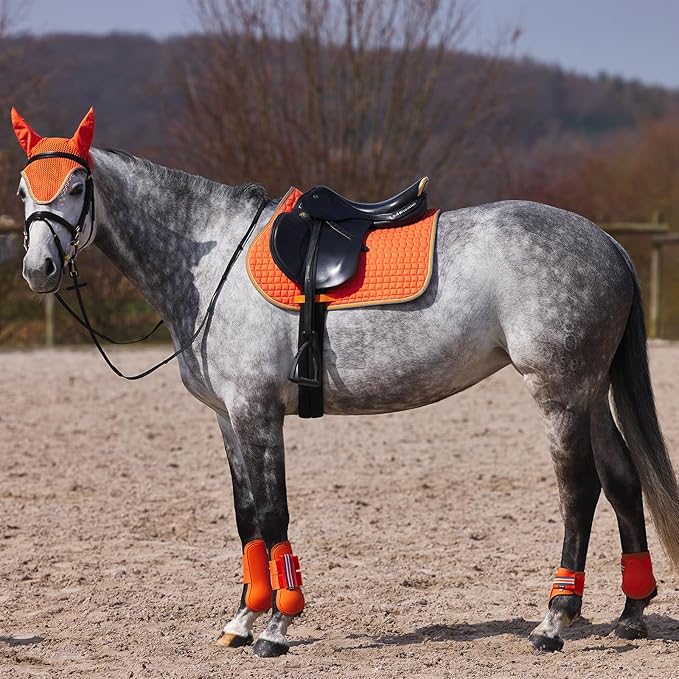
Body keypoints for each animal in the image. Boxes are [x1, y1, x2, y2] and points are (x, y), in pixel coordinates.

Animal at [12, 108, 679, 657]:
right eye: (23, 189)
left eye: (76, 187)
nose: (37, 269)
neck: (213, 263)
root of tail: (608, 243)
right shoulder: (227, 417)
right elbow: (247, 517)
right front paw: (242, 620)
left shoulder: (256, 412)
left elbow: (273, 514)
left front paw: (277, 628)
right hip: (589, 392)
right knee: (622, 479)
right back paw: (631, 612)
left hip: (558, 392)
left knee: (579, 490)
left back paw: (554, 620)